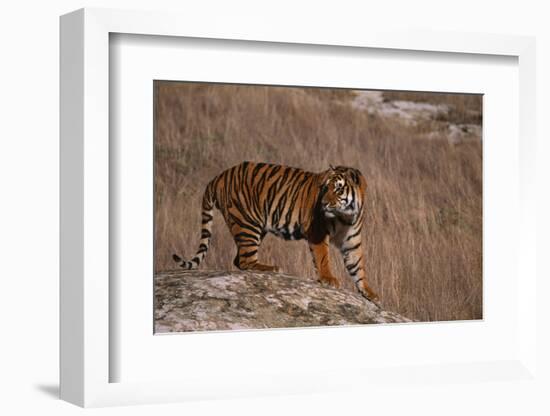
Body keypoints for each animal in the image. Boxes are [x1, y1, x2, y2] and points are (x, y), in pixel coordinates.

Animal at [172, 162, 380, 302]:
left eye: (337, 189)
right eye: (324, 188)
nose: (323, 203)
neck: (346, 216)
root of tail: (219, 176)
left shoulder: (351, 241)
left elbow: (358, 266)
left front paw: (369, 292)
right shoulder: (318, 232)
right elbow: (323, 258)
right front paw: (328, 279)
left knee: (239, 260)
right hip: (248, 224)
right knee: (246, 260)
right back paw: (271, 268)